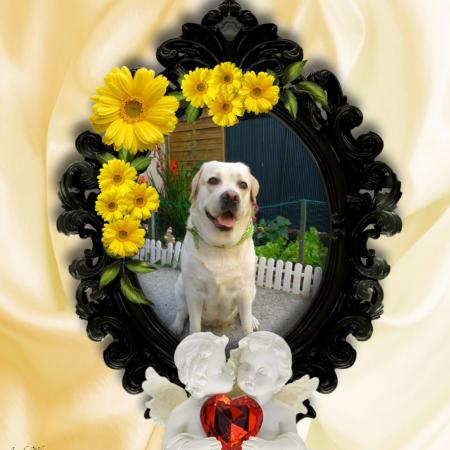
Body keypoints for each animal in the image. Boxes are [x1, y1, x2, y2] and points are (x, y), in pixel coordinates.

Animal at [169, 161, 260, 336]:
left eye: (243, 185)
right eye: (213, 180)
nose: (231, 196)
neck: (221, 246)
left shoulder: (245, 292)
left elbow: (246, 325)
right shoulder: (194, 293)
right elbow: (194, 327)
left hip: (253, 289)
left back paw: (253, 320)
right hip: (180, 289)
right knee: (181, 312)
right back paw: (176, 326)